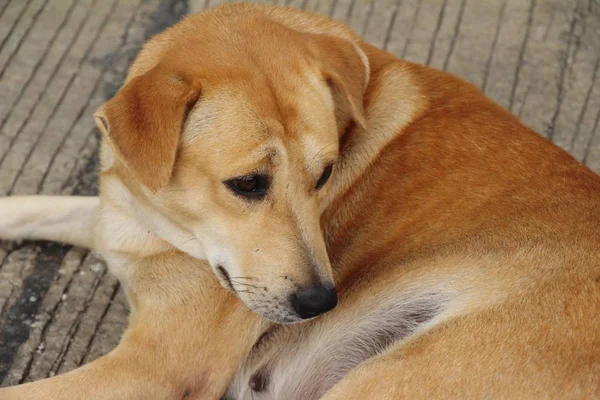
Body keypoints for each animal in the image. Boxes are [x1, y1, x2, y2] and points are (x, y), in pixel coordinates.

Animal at [1, 3, 600, 400]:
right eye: (247, 184)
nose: (320, 303)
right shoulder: (115, 221)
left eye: (326, 175)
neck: (155, 212)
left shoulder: (152, 368)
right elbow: (40, 205)